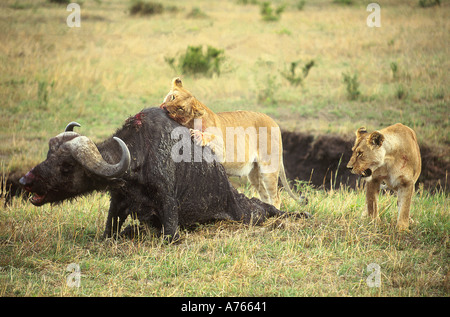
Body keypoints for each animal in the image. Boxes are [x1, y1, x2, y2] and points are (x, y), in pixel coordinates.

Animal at [18, 107, 306, 239]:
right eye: (48, 155)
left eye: (67, 166)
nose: (25, 181)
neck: (139, 157)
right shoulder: (117, 202)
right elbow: (112, 232)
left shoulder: (168, 208)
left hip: (247, 210)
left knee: (267, 206)